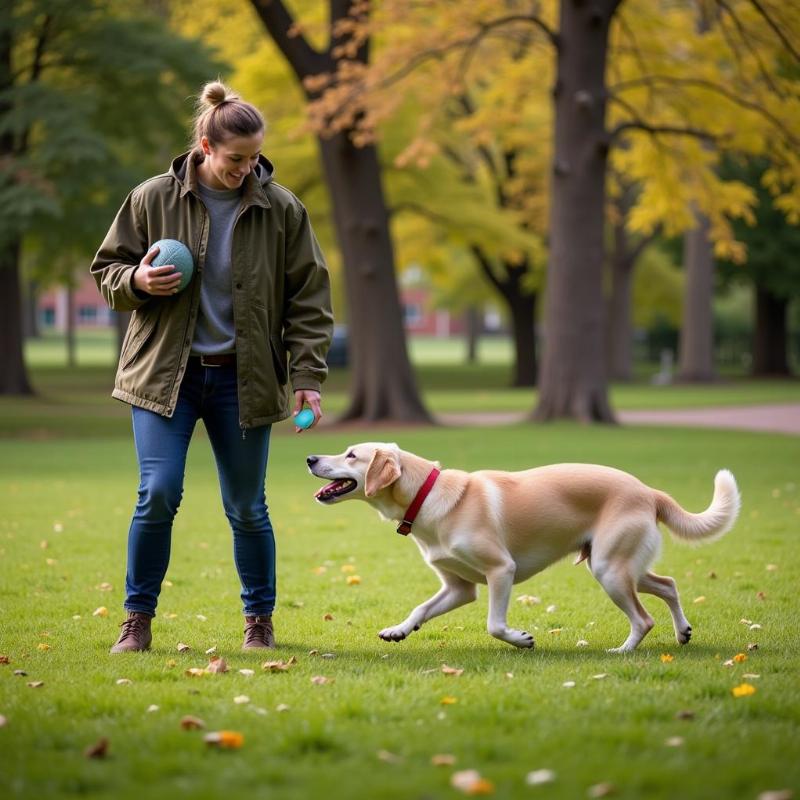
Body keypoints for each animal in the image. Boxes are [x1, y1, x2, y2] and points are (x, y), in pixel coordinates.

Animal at [304, 440, 736, 652]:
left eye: (351, 455)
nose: (309, 457)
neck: (427, 496)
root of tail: (648, 491)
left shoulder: (501, 571)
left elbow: (495, 625)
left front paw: (521, 640)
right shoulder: (460, 587)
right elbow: (421, 608)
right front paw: (400, 630)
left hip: (610, 570)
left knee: (644, 618)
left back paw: (623, 652)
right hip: (620, 566)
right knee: (669, 585)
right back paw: (682, 632)